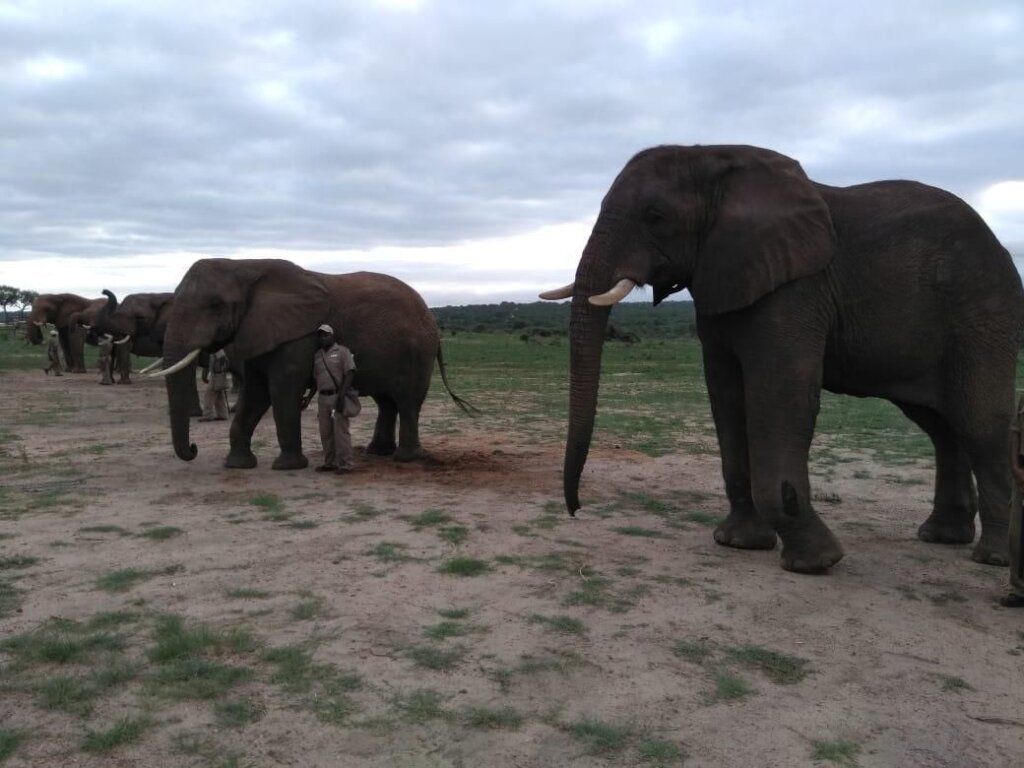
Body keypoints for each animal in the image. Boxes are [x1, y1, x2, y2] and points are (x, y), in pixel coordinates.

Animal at [154, 258, 475, 470]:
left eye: (216, 305)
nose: (194, 448)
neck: (245, 266)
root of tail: (431, 318)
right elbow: (255, 394)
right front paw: (238, 465)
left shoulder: (297, 336)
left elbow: (282, 389)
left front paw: (288, 467)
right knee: (387, 401)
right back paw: (376, 453)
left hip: (417, 351)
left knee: (407, 401)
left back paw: (406, 459)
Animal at [541, 144, 1023, 573]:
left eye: (654, 216)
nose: (576, 510)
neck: (712, 156)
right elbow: (727, 397)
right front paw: (739, 543)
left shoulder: (797, 288)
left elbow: (781, 397)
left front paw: (817, 562)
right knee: (942, 425)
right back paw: (942, 537)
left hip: (982, 310)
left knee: (979, 422)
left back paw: (993, 558)